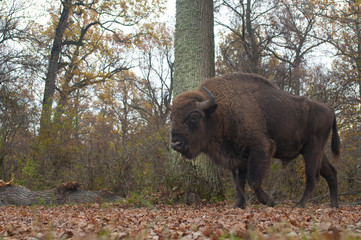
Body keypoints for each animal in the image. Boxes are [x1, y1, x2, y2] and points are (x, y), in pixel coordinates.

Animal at [167, 71, 338, 208]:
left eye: (194, 117)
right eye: (172, 117)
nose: (175, 143)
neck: (220, 111)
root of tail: (330, 109)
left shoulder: (261, 148)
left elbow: (253, 180)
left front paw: (269, 201)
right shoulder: (237, 158)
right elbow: (239, 183)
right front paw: (238, 205)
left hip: (312, 150)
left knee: (312, 177)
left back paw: (300, 205)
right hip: (316, 152)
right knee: (330, 172)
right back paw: (334, 205)